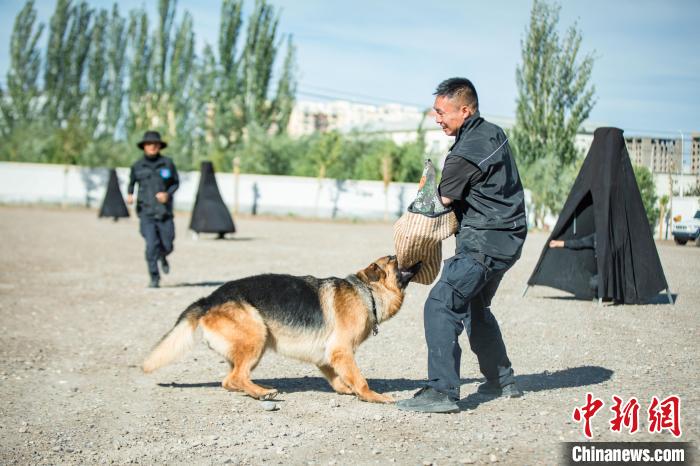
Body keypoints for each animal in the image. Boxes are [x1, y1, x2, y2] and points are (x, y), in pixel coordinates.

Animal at [142, 256, 422, 402]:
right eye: (394, 260)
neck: (367, 293)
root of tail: (208, 299)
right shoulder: (341, 351)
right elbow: (359, 378)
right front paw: (371, 395)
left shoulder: (327, 356)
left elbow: (337, 378)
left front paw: (345, 389)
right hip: (257, 336)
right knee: (235, 377)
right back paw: (262, 393)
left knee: (229, 380)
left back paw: (254, 390)